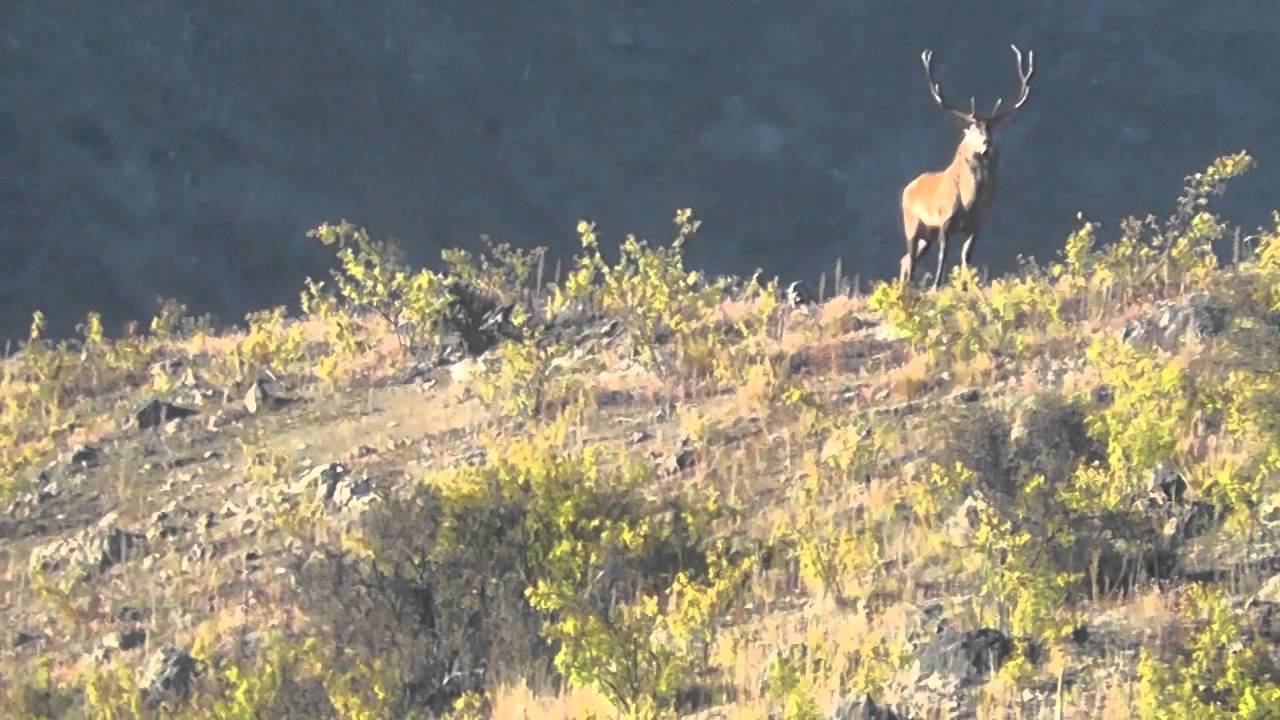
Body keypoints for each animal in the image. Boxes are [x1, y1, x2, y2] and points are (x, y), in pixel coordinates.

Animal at [899, 44, 1035, 290]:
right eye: (972, 130)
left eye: (991, 129)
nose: (987, 144)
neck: (969, 202)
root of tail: (908, 188)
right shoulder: (944, 219)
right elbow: (943, 256)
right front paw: (936, 286)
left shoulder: (976, 225)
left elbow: (966, 258)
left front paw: (966, 286)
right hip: (912, 224)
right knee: (910, 258)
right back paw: (907, 287)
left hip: (927, 235)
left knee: (905, 260)